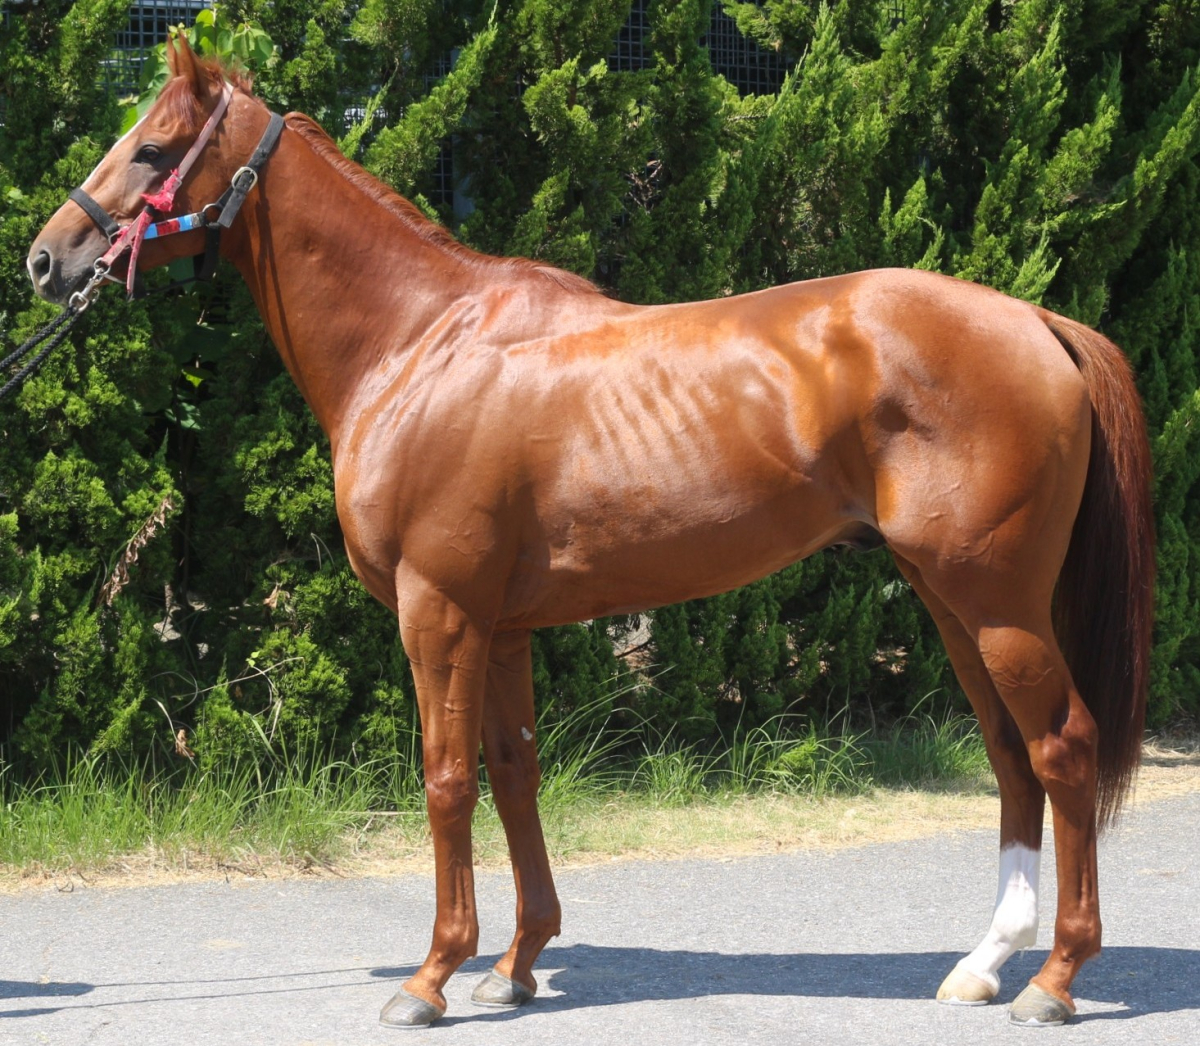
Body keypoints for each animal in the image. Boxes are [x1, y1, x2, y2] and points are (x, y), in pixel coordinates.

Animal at [27, 37, 1154, 1029]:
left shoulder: (437, 613)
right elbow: (517, 775)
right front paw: (515, 966)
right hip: (953, 600)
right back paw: (983, 965)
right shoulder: (502, 628)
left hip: (997, 603)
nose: (47, 258)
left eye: (154, 149)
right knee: (1011, 757)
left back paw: (1056, 978)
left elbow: (447, 781)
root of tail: (1037, 323)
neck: (422, 344)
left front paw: (432, 976)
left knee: (1062, 748)